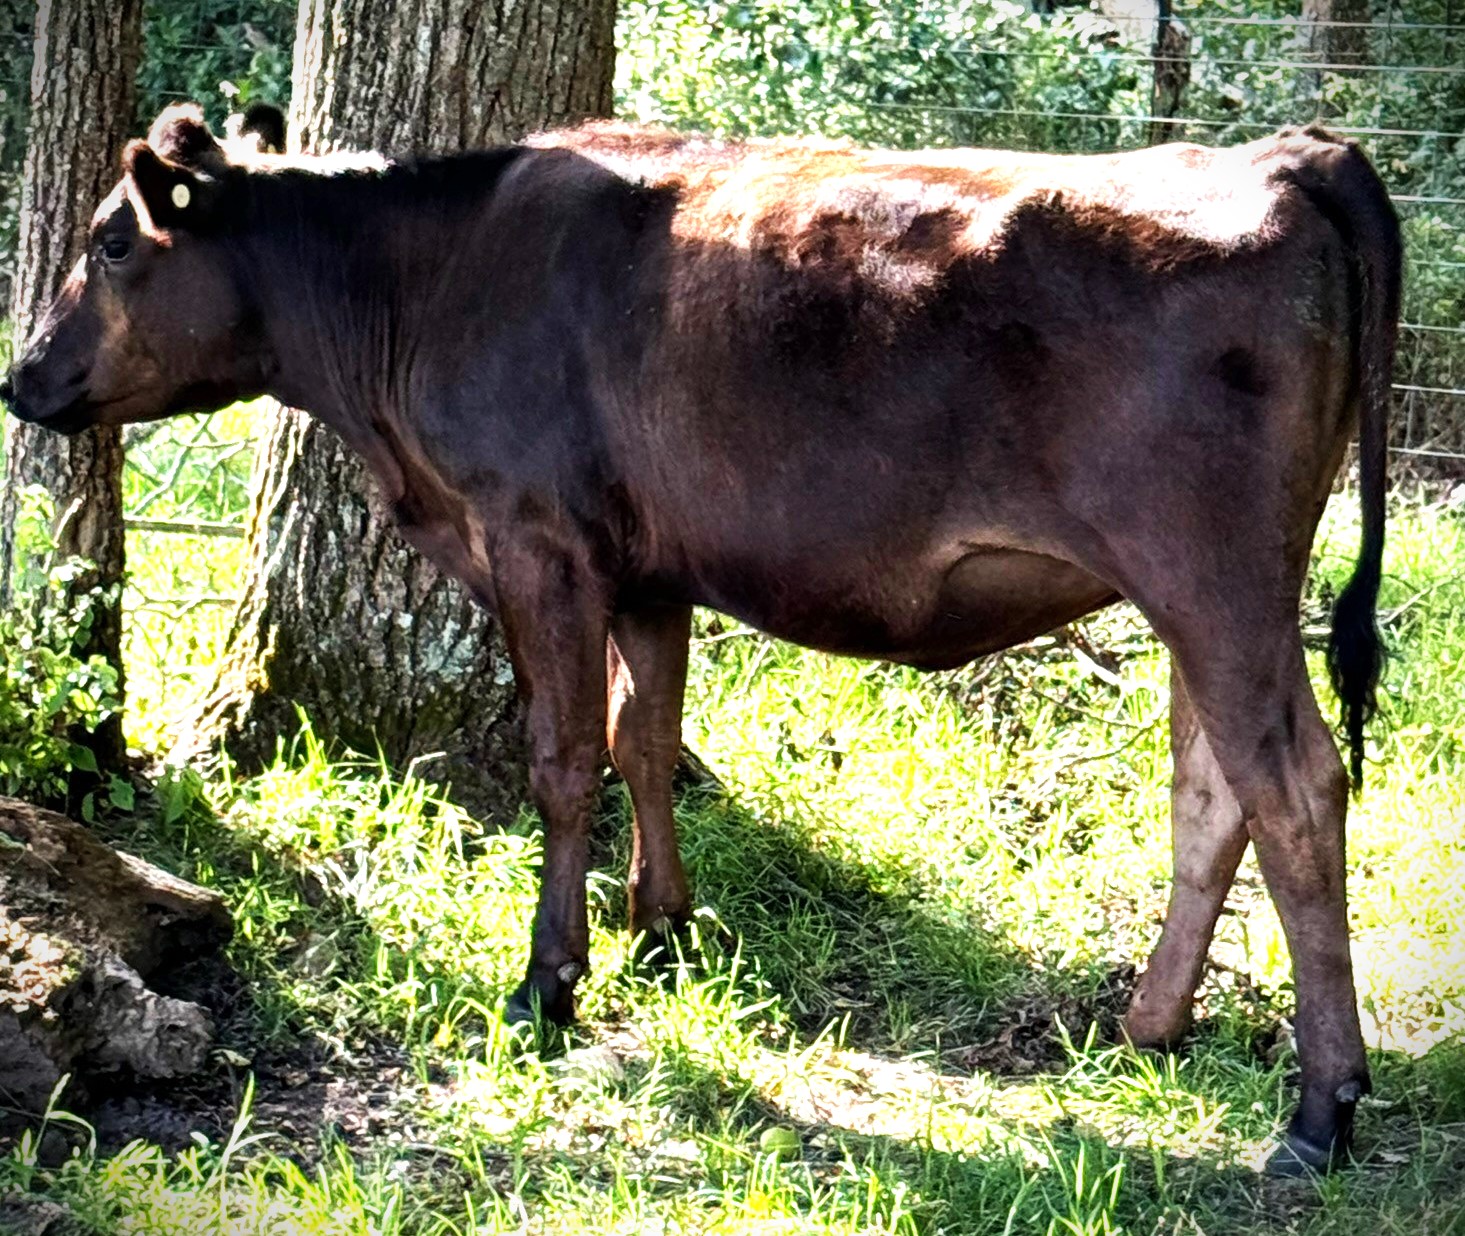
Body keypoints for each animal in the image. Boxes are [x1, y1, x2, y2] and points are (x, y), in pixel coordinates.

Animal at [0, 101, 1400, 1171]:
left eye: (111, 242)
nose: (20, 378)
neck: (427, 281)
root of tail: (1290, 153)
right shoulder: (646, 572)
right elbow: (645, 737)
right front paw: (660, 926)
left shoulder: (537, 541)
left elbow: (565, 760)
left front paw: (550, 979)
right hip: (1206, 597)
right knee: (1210, 791)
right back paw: (1147, 1026)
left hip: (1212, 578)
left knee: (1294, 791)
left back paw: (1319, 1110)